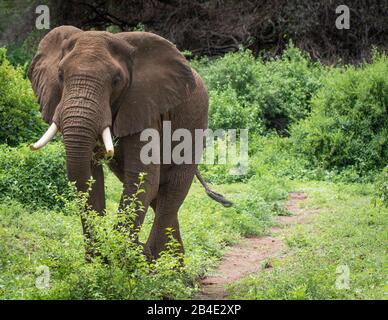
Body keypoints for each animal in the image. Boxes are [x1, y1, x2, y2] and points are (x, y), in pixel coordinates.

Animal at [28, 25, 232, 260]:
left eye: (116, 80)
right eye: (60, 75)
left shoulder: (144, 104)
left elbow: (141, 178)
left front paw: (120, 257)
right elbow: (91, 175)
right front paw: (99, 260)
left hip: (195, 123)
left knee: (173, 190)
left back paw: (156, 261)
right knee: (159, 197)